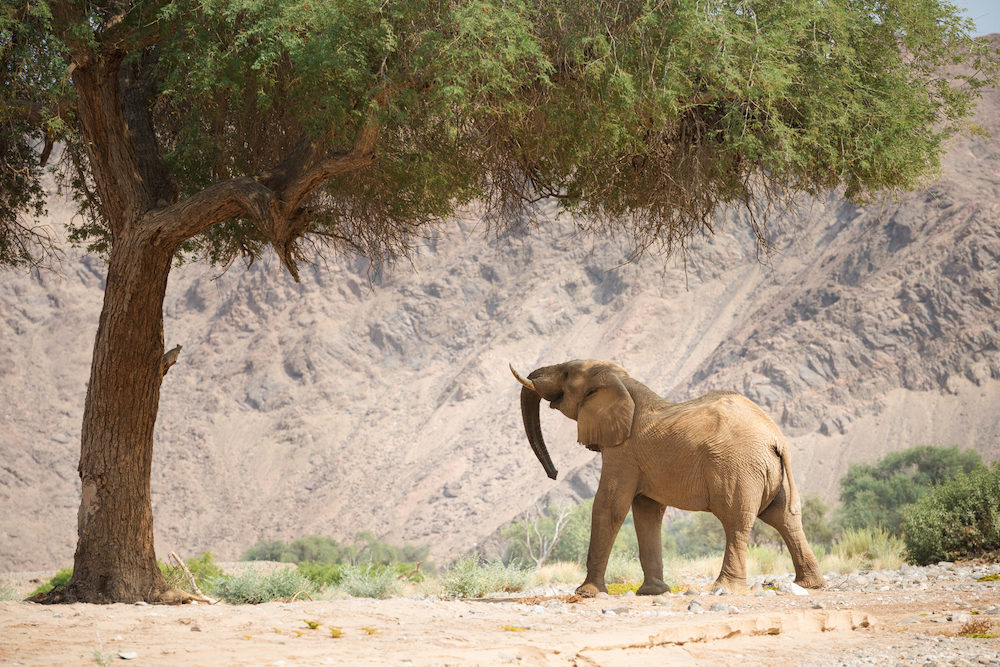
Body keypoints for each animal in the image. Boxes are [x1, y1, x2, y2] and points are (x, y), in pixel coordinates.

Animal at [510, 359, 824, 596]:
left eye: (566, 374)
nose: (554, 474)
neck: (623, 382)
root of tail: (776, 439)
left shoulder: (623, 451)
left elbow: (609, 506)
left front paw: (586, 593)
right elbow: (647, 513)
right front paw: (653, 592)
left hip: (739, 468)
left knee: (736, 520)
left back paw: (724, 589)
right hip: (768, 472)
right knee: (785, 519)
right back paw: (810, 584)